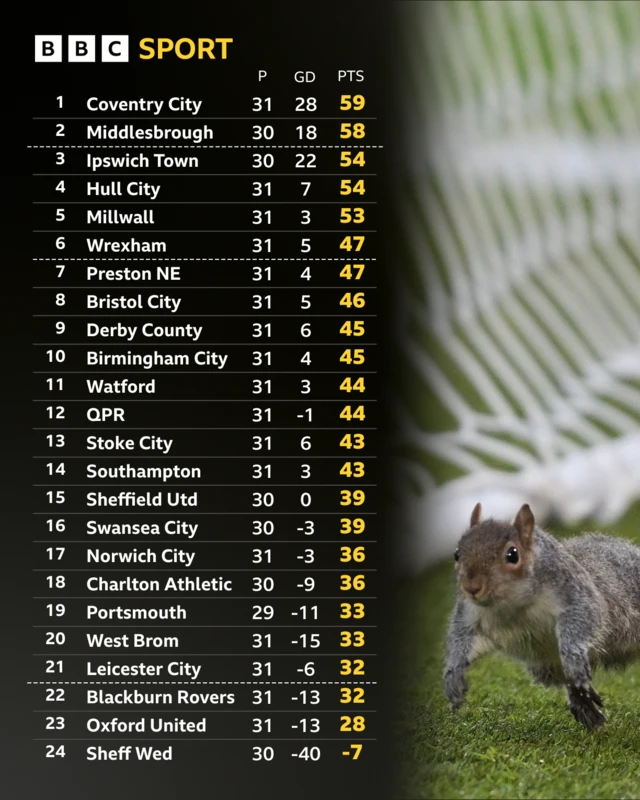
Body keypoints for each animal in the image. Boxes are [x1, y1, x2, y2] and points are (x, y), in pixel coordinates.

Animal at [443, 502, 640, 730]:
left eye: (513, 554)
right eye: (457, 554)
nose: (472, 587)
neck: (512, 604)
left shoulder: (574, 592)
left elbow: (585, 614)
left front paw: (573, 657)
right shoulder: (469, 614)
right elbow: (460, 639)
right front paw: (453, 677)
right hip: (546, 667)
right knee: (569, 682)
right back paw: (584, 704)